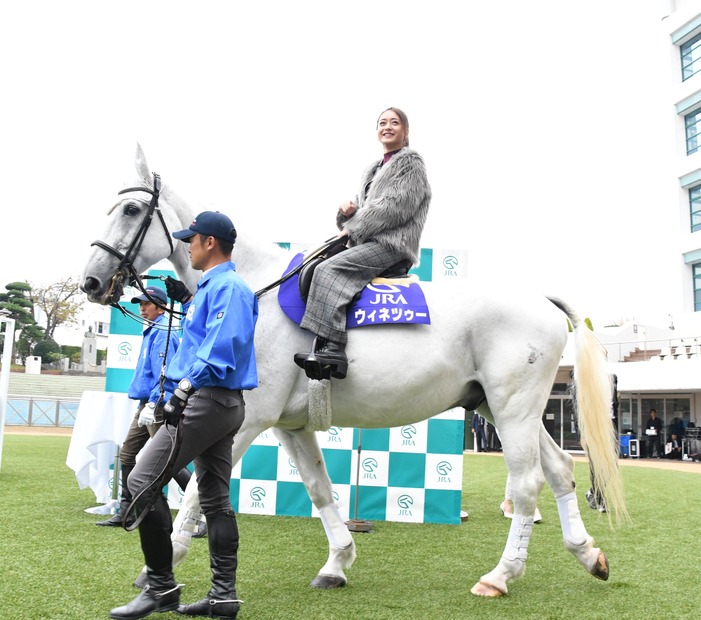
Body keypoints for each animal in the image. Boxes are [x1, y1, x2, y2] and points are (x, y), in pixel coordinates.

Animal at [80, 145, 624, 596]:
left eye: (130, 210)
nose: (91, 281)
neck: (253, 287)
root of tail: (542, 300)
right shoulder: (289, 426)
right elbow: (320, 489)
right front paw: (337, 563)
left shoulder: (248, 419)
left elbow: (195, 488)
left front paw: (162, 560)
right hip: (502, 407)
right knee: (560, 469)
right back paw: (588, 554)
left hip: (513, 409)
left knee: (528, 484)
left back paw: (500, 575)